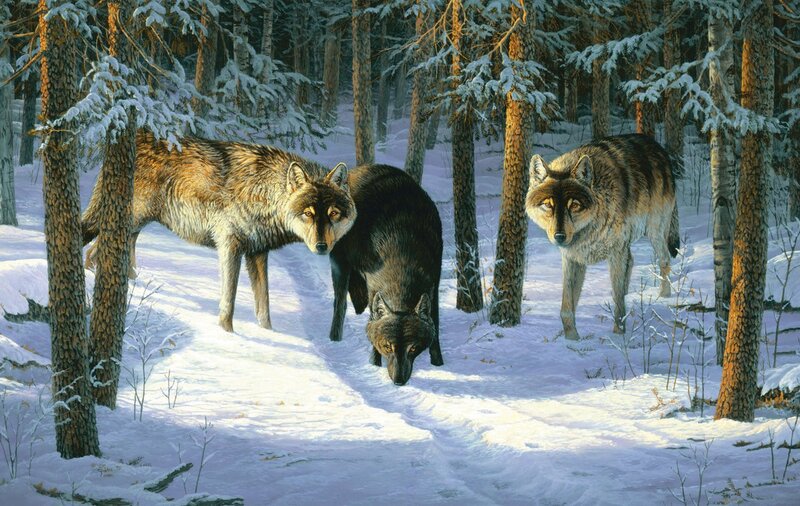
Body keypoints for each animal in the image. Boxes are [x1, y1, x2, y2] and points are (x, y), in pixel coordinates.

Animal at [82, 132, 356, 332]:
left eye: (333, 214)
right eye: (308, 213)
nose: (322, 247)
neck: (265, 193)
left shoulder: (258, 252)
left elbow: (264, 305)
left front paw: (268, 333)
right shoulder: (229, 245)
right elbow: (229, 301)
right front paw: (228, 335)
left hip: (135, 226)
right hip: (128, 221)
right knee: (92, 251)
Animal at [327, 164, 443, 385]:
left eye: (413, 348)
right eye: (387, 346)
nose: (399, 381)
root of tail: (356, 170)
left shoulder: (435, 281)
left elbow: (435, 322)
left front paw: (439, 363)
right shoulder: (373, 287)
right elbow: (372, 322)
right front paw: (374, 364)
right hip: (340, 265)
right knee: (340, 304)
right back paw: (334, 339)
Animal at [525, 134, 679, 340]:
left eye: (574, 205)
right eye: (548, 205)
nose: (560, 236)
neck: (589, 229)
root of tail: (658, 147)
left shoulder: (616, 252)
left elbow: (617, 301)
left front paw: (618, 335)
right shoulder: (572, 257)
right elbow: (567, 305)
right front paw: (572, 339)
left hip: (654, 232)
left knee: (664, 259)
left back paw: (664, 296)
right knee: (632, 261)